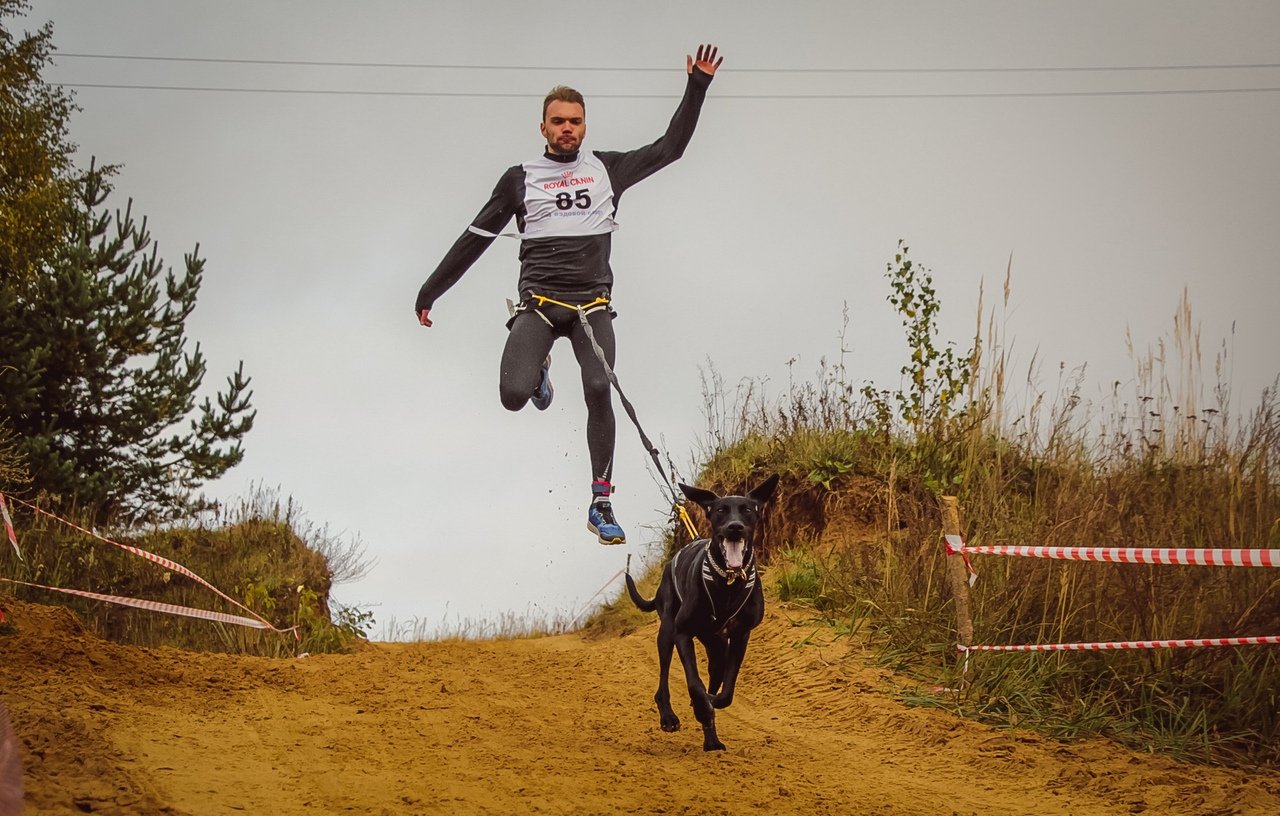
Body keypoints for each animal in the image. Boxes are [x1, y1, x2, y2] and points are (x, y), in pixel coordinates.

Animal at [625, 474, 779, 751]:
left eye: (747, 510)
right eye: (720, 510)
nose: (735, 527)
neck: (728, 581)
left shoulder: (740, 636)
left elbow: (726, 692)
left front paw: (712, 704)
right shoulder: (683, 633)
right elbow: (694, 684)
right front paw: (700, 707)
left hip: (717, 647)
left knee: (715, 676)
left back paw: (712, 739)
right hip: (667, 631)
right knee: (663, 682)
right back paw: (669, 717)